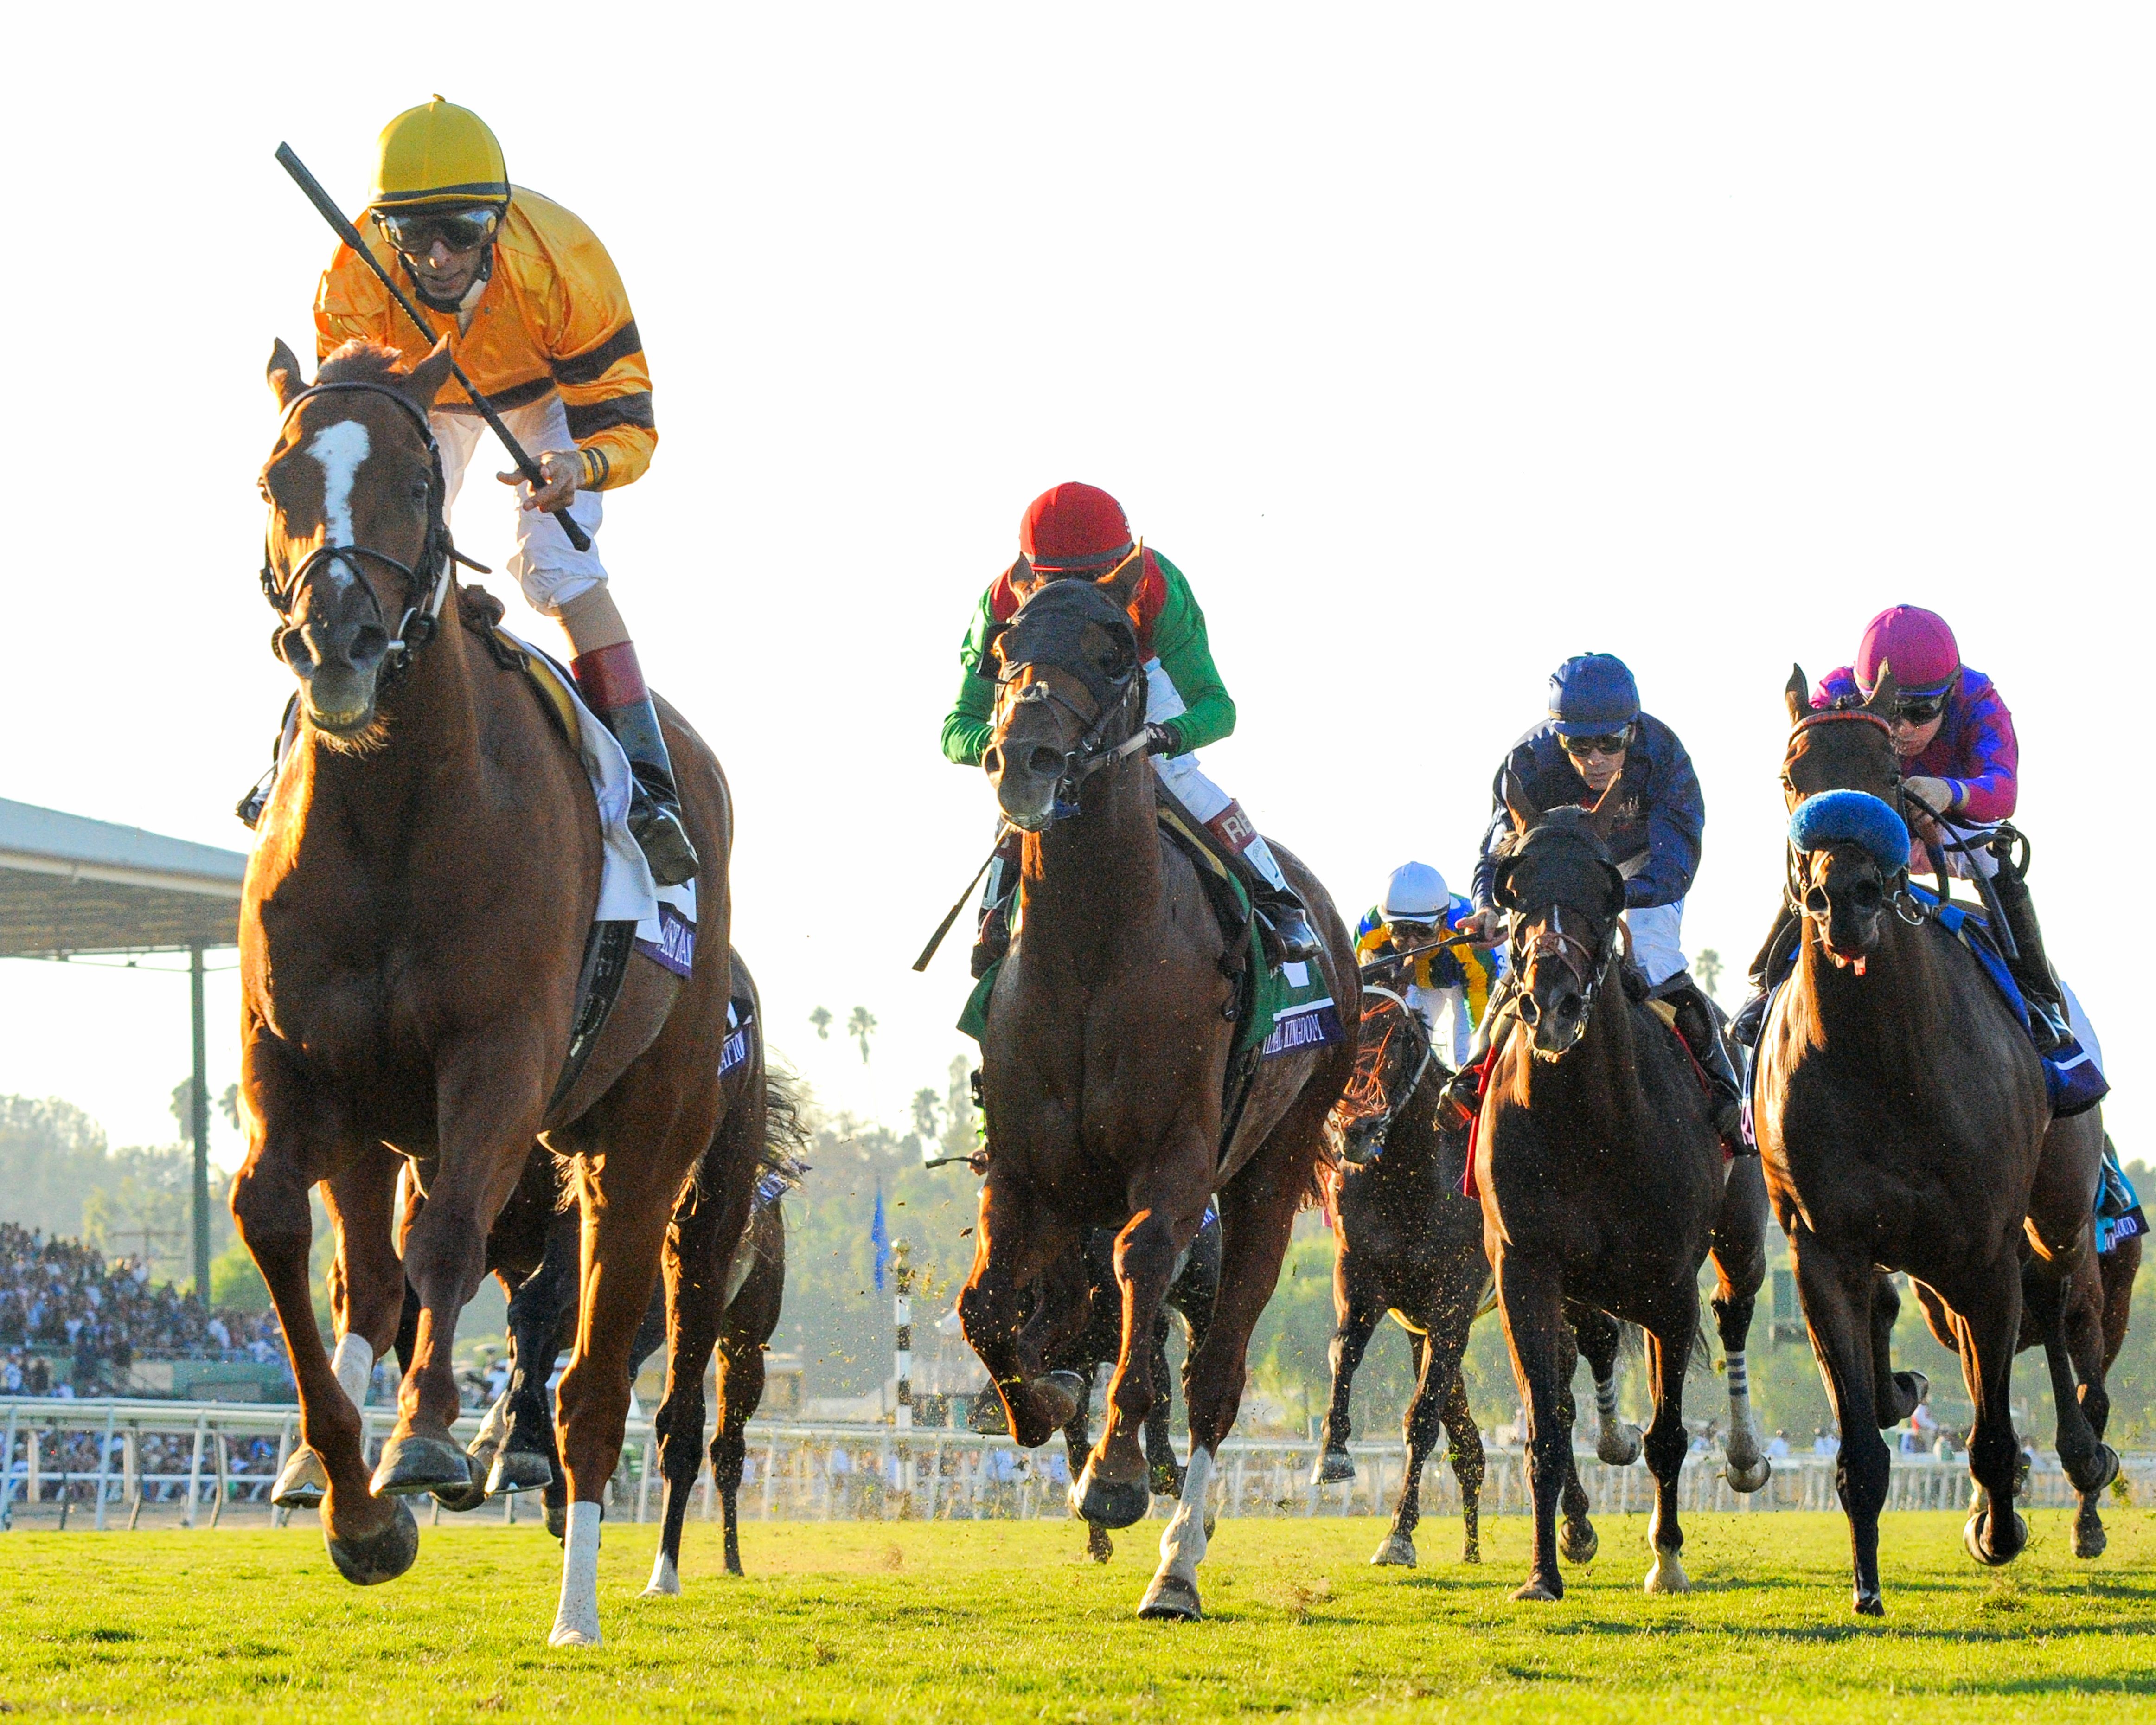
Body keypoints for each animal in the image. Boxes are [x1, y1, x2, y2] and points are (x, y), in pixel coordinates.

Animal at [239, 336, 733, 1647]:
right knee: (373, 1274)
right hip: (383, 1117)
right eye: (277, 480)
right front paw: (351, 1500)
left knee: (597, 1383)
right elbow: (279, 1225)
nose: (338, 644)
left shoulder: (500, 1055)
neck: (392, 802)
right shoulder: (293, 1059)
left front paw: (417, 1448)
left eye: (418, 484)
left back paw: (580, 1606)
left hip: (644, 1144)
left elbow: (453, 1240)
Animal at [966, 569, 1354, 1621]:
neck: (1094, 950)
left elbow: (1143, 1274)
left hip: (1271, 1165)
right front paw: (1046, 1396)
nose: (1023, 757)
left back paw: (1177, 1562)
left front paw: (1111, 1476)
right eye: (1003, 649)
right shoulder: (1025, 1171)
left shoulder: (1177, 1155)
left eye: (1111, 655)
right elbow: (989, 1307)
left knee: (1216, 1371)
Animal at [1311, 979, 1630, 1570]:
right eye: (1348, 1037)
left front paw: (1398, 1533)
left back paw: (1580, 1517)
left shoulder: (1453, 1299)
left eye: (1399, 1043)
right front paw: (1333, 1453)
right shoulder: (1361, 1276)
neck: (1409, 1182)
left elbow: (1422, 1417)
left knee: (1581, 1366)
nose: (1356, 1130)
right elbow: (1344, 1350)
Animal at [1483, 793, 1768, 1604]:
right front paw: (1541, 1571)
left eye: (1603, 893)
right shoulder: (1526, 1267)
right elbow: (1546, 1427)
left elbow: (1668, 1434)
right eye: (1515, 889)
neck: (1585, 1121)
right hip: (1586, 1279)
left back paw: (1744, 1455)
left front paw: (1667, 1558)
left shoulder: (1670, 1282)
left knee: (1733, 1312)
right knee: (1600, 1336)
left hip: (1740, 1237)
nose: (1550, 1001)